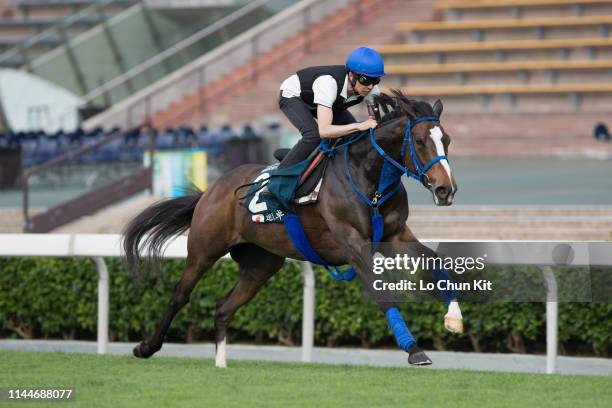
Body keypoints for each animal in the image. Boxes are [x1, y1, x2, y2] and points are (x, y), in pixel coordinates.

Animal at [123, 89, 460, 366]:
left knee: (223, 308)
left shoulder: (394, 234)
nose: (446, 189)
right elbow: (383, 294)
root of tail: (211, 190)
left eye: (447, 140)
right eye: (420, 141)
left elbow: (436, 262)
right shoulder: (353, 244)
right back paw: (146, 347)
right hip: (203, 250)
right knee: (179, 295)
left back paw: (221, 362)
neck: (369, 178)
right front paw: (414, 349)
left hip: (262, 263)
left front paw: (454, 318)